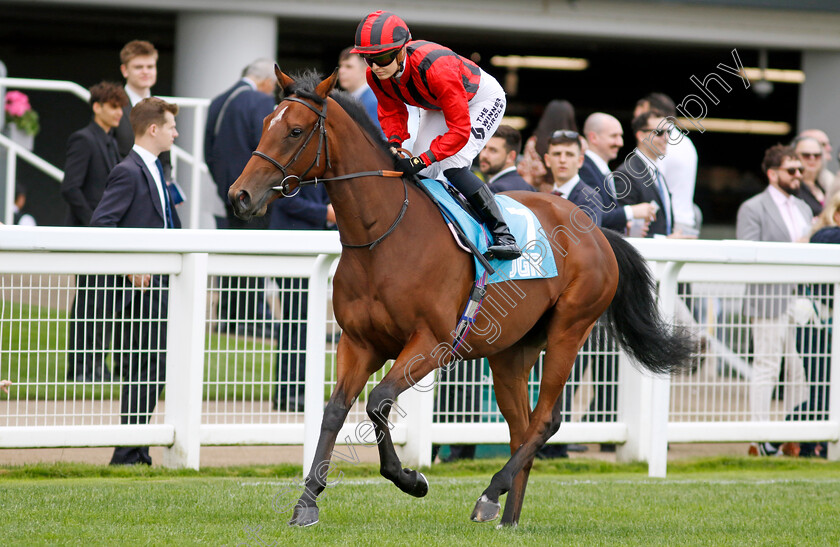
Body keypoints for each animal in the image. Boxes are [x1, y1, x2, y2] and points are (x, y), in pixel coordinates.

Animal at [226, 66, 692, 528]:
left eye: (295, 130)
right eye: (265, 125)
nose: (239, 195)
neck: (384, 236)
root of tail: (597, 229)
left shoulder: (431, 344)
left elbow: (378, 402)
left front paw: (410, 479)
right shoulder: (359, 342)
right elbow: (336, 410)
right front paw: (307, 501)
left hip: (569, 329)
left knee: (545, 421)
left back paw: (489, 494)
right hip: (511, 352)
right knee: (521, 428)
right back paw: (508, 518)